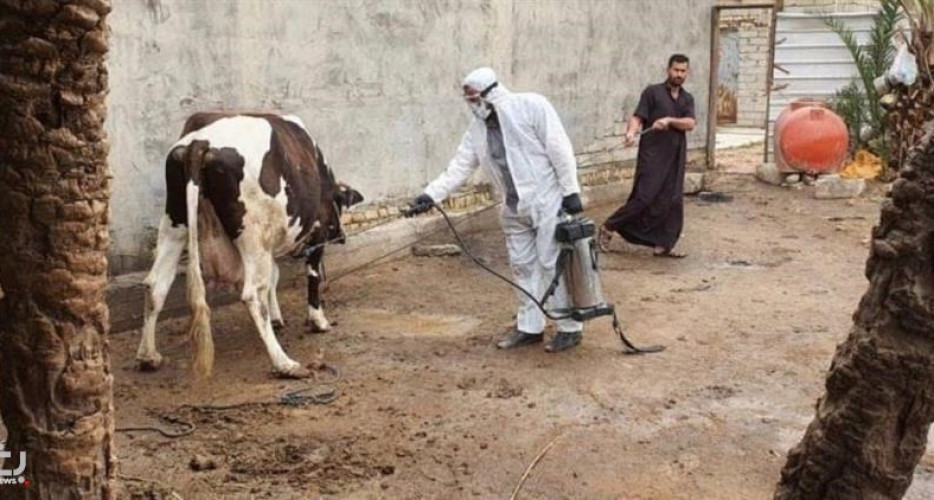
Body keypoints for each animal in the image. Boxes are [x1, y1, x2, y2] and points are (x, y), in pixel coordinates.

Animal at [135, 112, 363, 379]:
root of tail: (201, 142)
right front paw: (319, 321)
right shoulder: (316, 234)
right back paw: (283, 363)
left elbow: (274, 276)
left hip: (176, 222)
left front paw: (277, 318)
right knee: (252, 294)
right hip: (252, 235)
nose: (341, 236)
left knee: (155, 284)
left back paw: (148, 356)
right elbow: (311, 278)